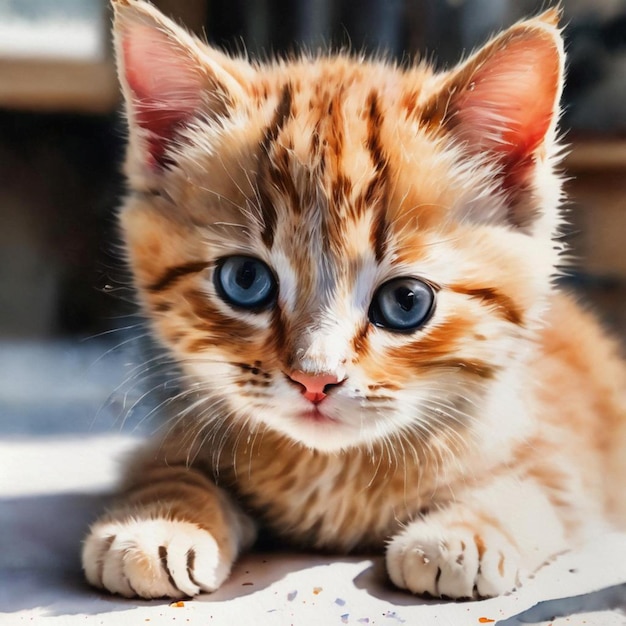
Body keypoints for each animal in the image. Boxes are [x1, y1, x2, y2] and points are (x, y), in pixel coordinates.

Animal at [80, 0, 624, 600]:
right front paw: (162, 521)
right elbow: (166, 469)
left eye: (406, 302)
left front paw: (466, 531)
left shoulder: (568, 458)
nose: (315, 379)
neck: (331, 471)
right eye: (245, 280)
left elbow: (536, 488)